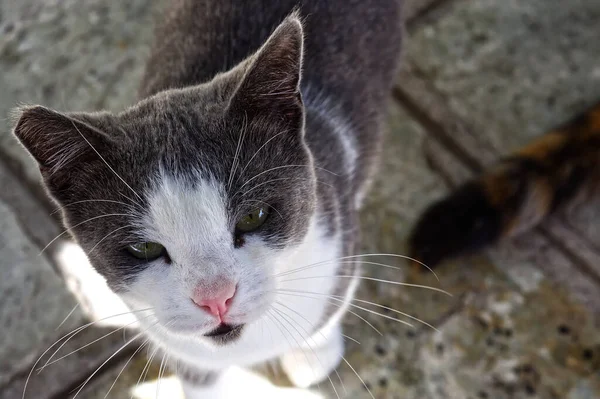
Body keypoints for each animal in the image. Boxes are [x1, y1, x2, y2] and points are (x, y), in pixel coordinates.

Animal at [10, 0, 404, 396]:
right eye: (144, 248)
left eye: (253, 215)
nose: (216, 299)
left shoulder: (339, 233)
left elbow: (333, 302)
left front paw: (312, 354)